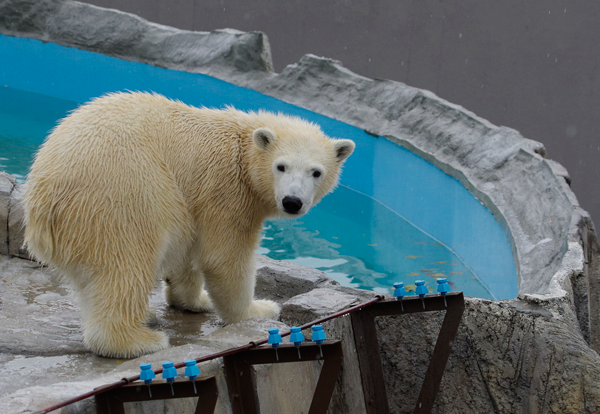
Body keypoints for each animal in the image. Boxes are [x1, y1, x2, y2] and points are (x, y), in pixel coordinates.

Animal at [23, 92, 354, 358]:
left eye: (316, 172)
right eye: (281, 166)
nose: (292, 201)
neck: (242, 145)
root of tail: (43, 198)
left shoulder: (196, 198)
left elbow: (187, 253)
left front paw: (194, 300)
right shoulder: (226, 190)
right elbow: (224, 258)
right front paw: (258, 309)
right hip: (124, 195)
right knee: (126, 264)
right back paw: (139, 340)